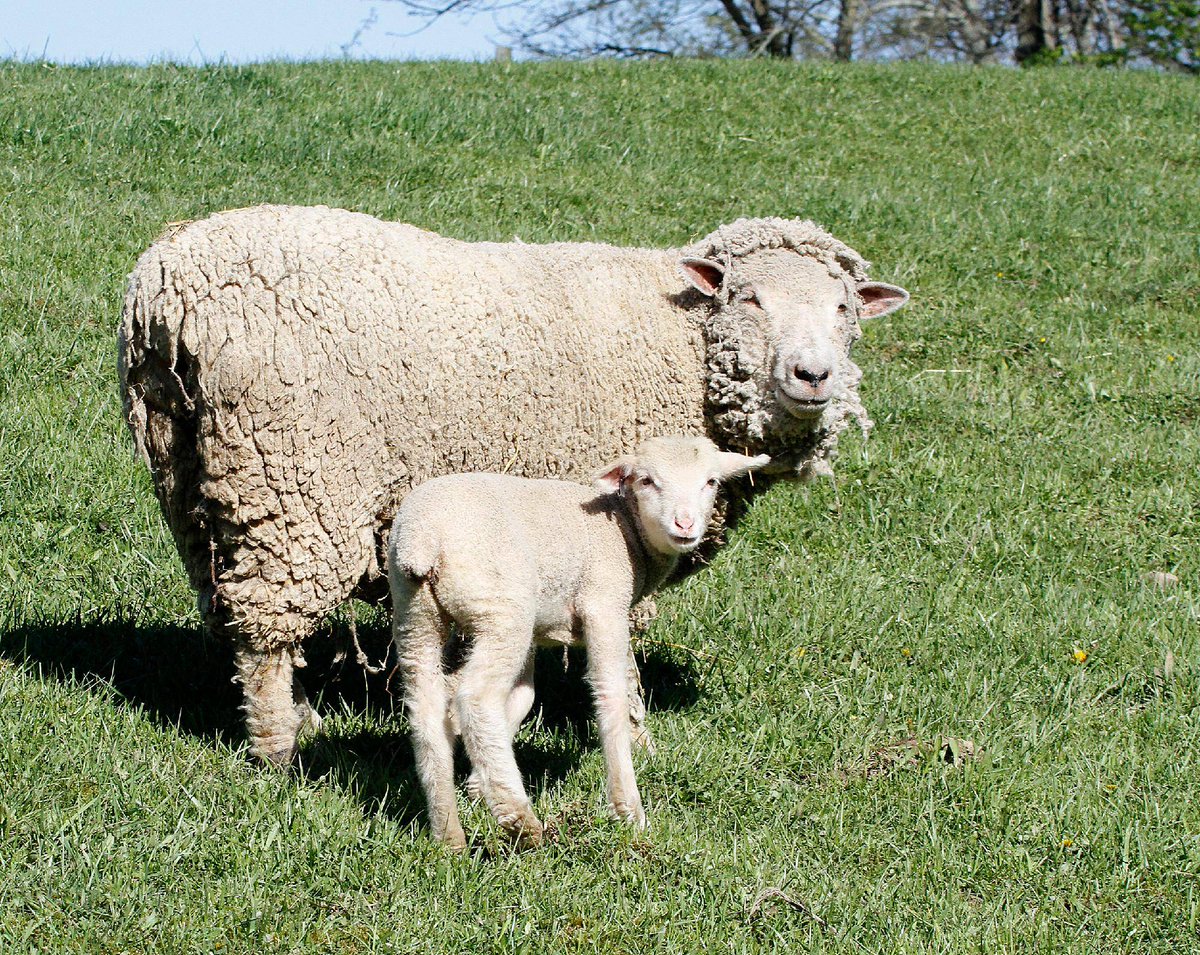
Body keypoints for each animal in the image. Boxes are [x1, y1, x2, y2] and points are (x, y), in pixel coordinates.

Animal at [118, 204, 909, 766]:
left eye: (844, 308)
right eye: (750, 300)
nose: (814, 374)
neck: (683, 342)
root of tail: (166, 286)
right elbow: (621, 639)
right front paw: (633, 735)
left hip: (195, 479)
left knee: (228, 606)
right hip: (295, 483)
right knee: (264, 625)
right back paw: (278, 745)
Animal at [390, 436, 770, 848]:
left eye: (711, 482)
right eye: (647, 480)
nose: (684, 524)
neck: (624, 527)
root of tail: (424, 539)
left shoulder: (538, 627)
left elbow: (523, 696)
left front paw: (477, 783)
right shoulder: (604, 603)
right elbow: (612, 695)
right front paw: (629, 811)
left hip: (416, 615)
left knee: (425, 709)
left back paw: (449, 834)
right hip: (502, 610)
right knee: (477, 698)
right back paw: (519, 818)